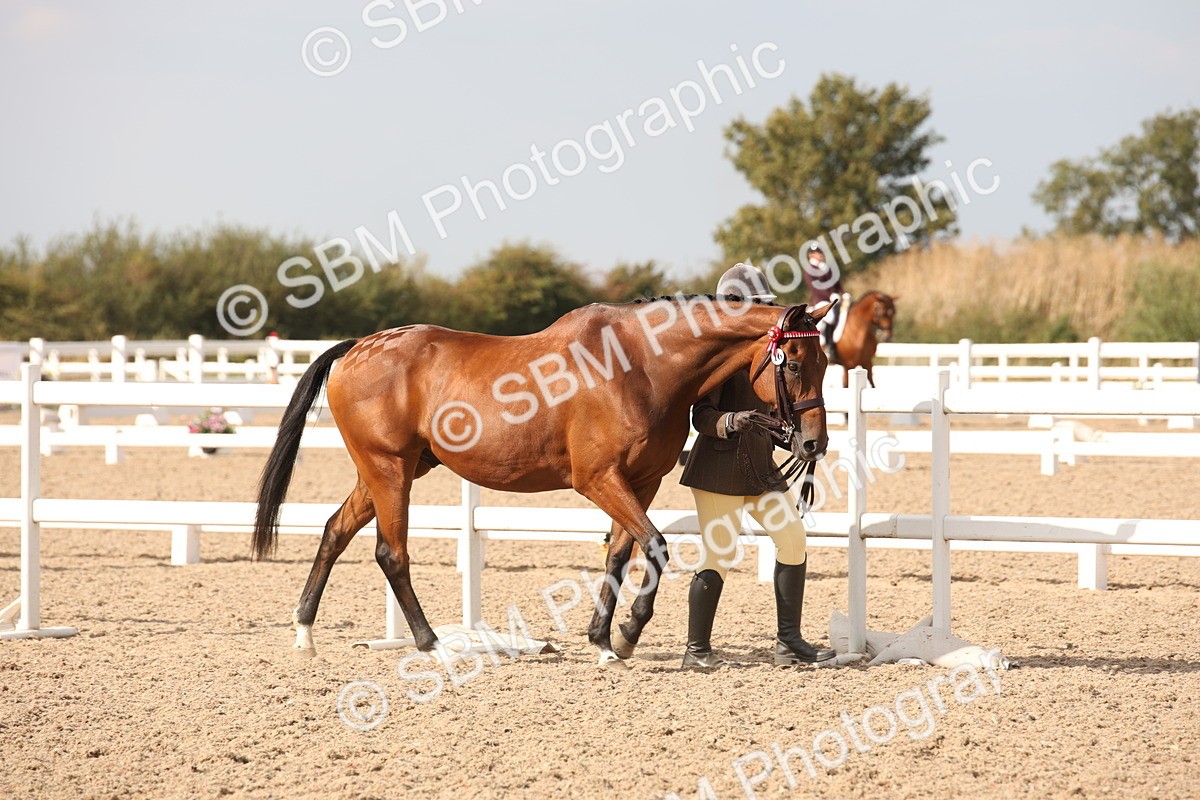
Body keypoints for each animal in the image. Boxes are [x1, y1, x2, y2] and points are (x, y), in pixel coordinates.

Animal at [251, 294, 834, 667]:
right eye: (794, 363)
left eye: (827, 362)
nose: (812, 445)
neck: (640, 365)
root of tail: (357, 347)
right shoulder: (598, 479)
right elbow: (656, 545)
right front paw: (627, 634)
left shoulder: (640, 482)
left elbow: (619, 555)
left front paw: (603, 642)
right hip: (390, 469)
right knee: (391, 553)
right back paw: (431, 644)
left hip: (394, 470)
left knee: (334, 531)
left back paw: (304, 635)